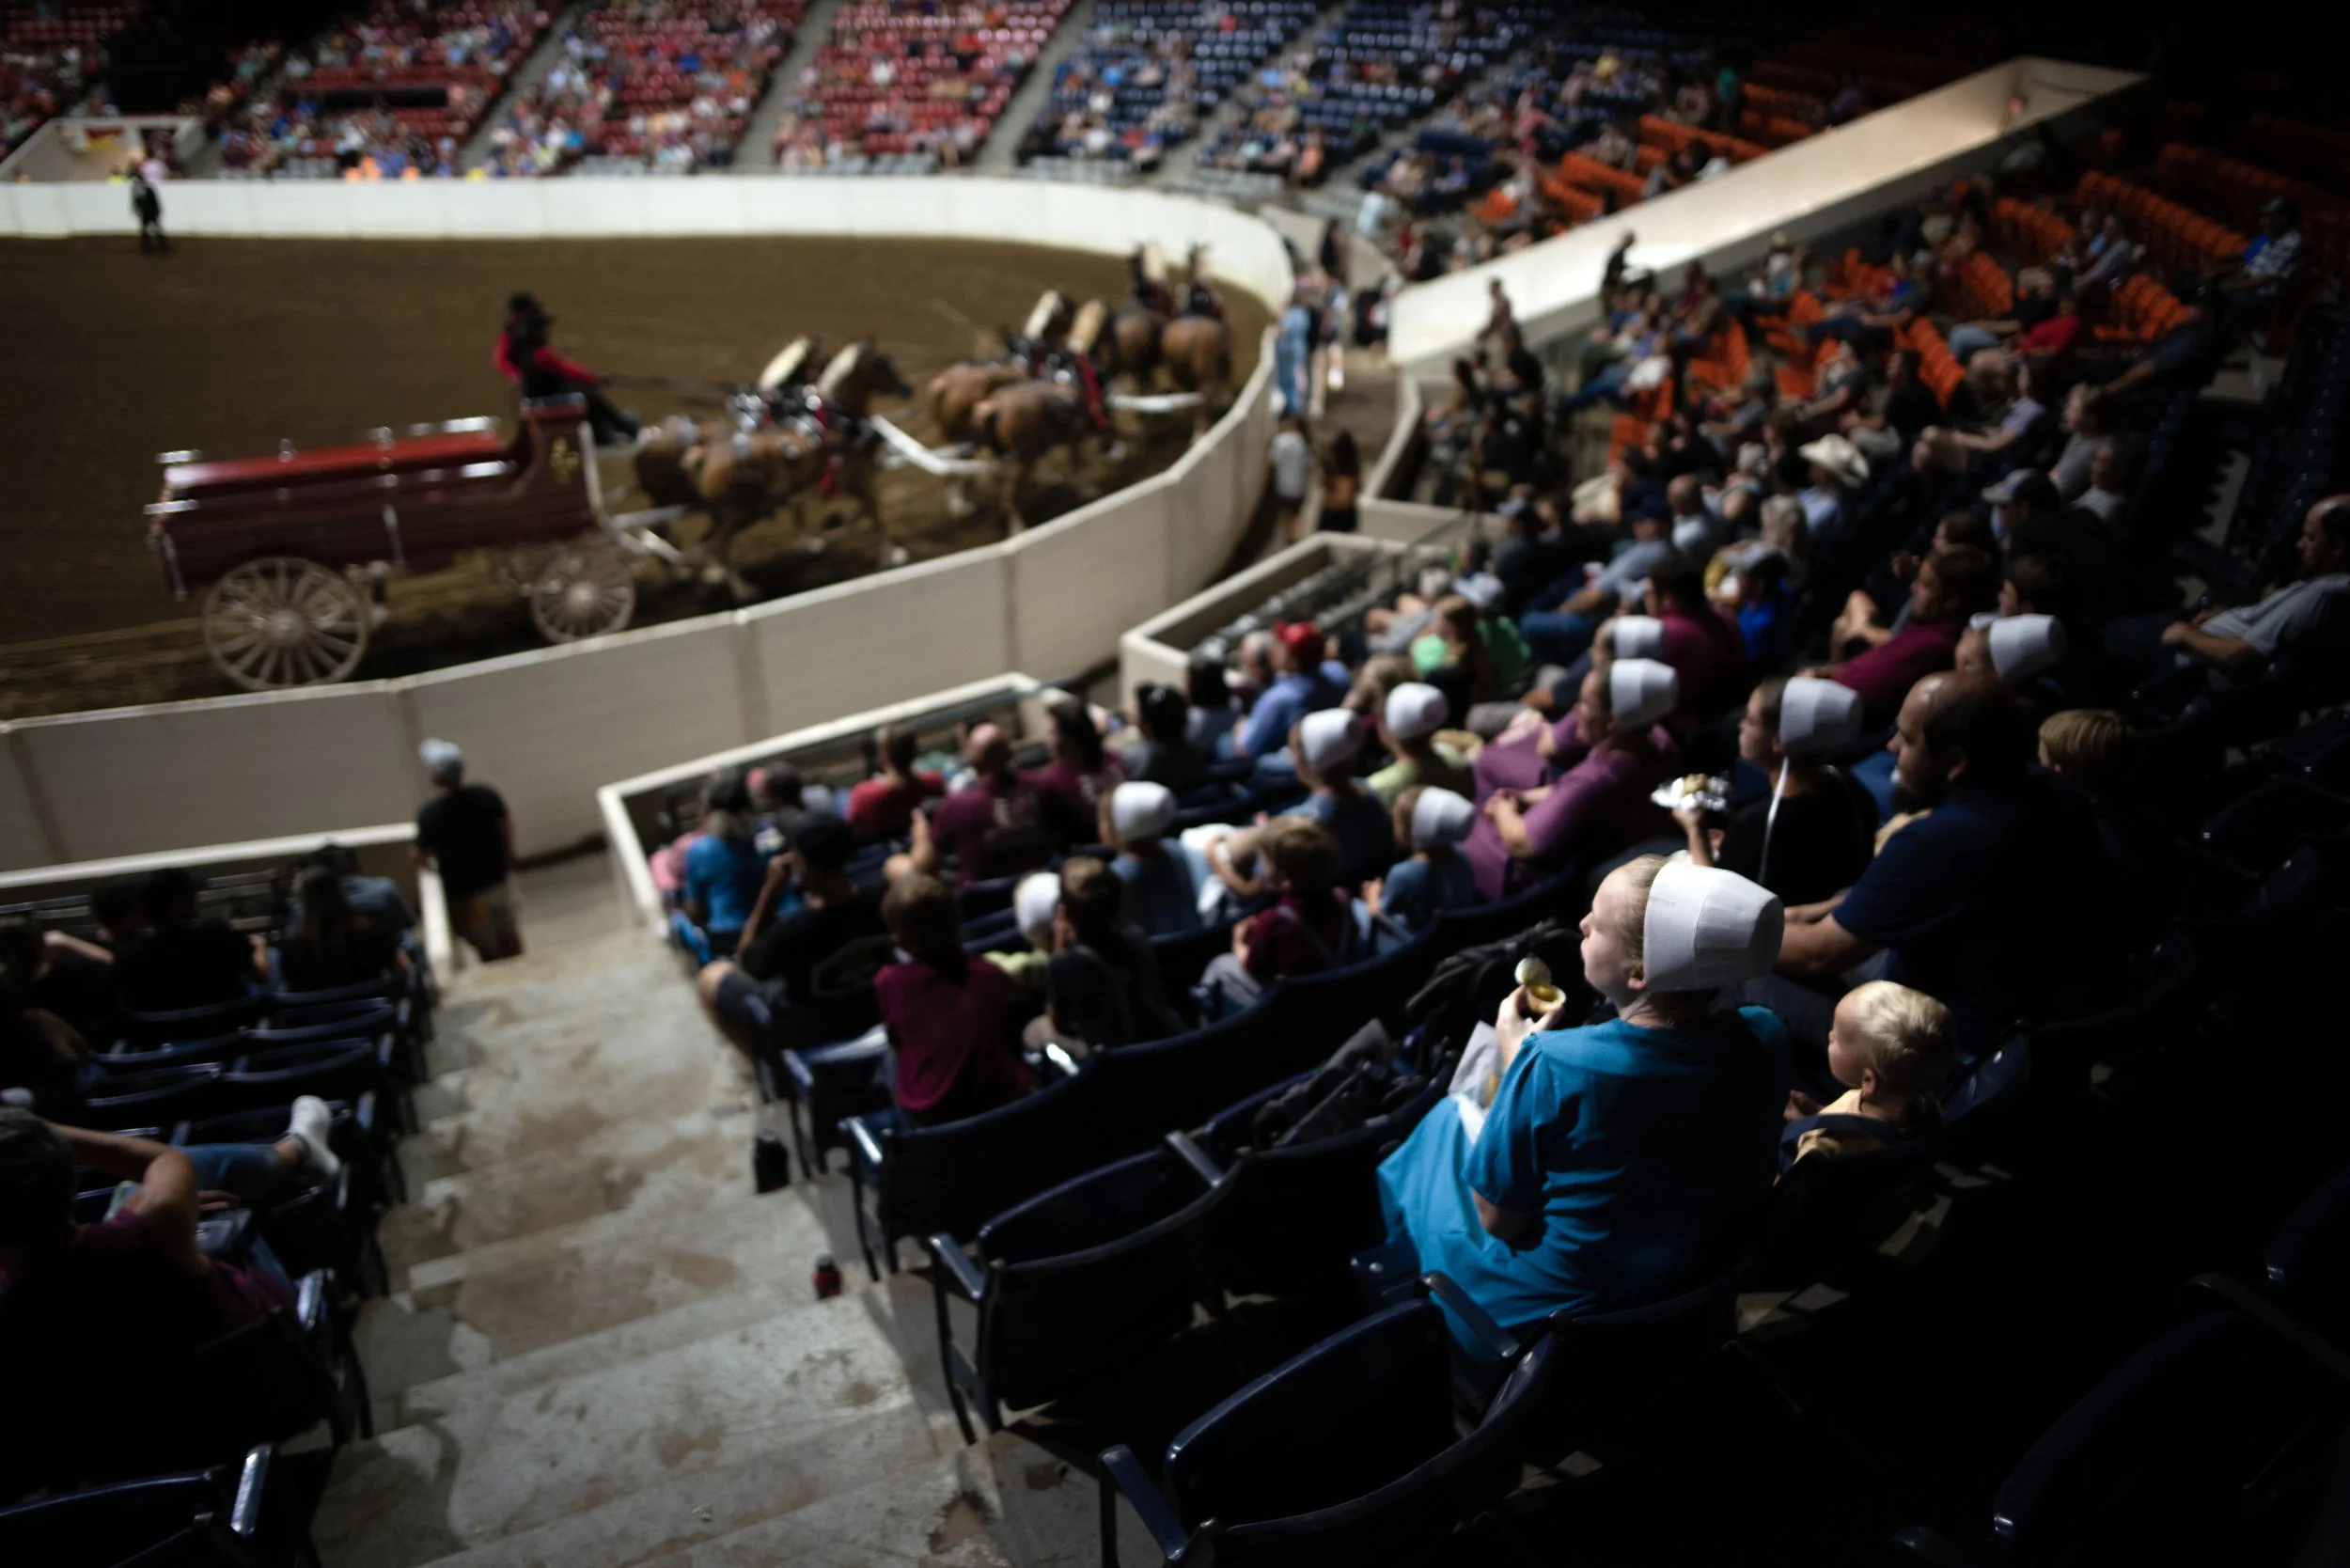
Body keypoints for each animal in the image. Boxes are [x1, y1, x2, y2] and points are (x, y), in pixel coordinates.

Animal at [633, 341, 912, 594]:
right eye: (882, 365)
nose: (908, 389)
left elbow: (820, 508)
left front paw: (818, 536)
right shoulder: (857, 477)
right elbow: (874, 512)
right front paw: (892, 554)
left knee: (686, 538)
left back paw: (701, 574)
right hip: (736, 510)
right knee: (710, 542)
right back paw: (739, 588)